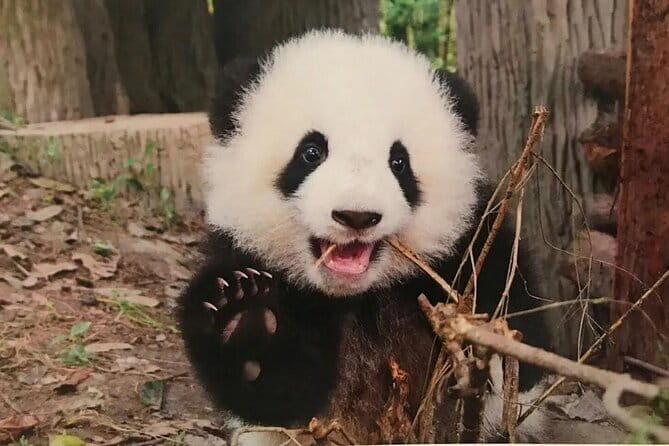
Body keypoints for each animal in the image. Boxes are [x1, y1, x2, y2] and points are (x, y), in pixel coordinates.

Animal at [178, 30, 552, 444]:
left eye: (399, 162)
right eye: (311, 152)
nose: (356, 215)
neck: (359, 295)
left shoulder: (468, 242)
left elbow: (516, 312)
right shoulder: (241, 250)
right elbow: (279, 398)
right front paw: (246, 317)